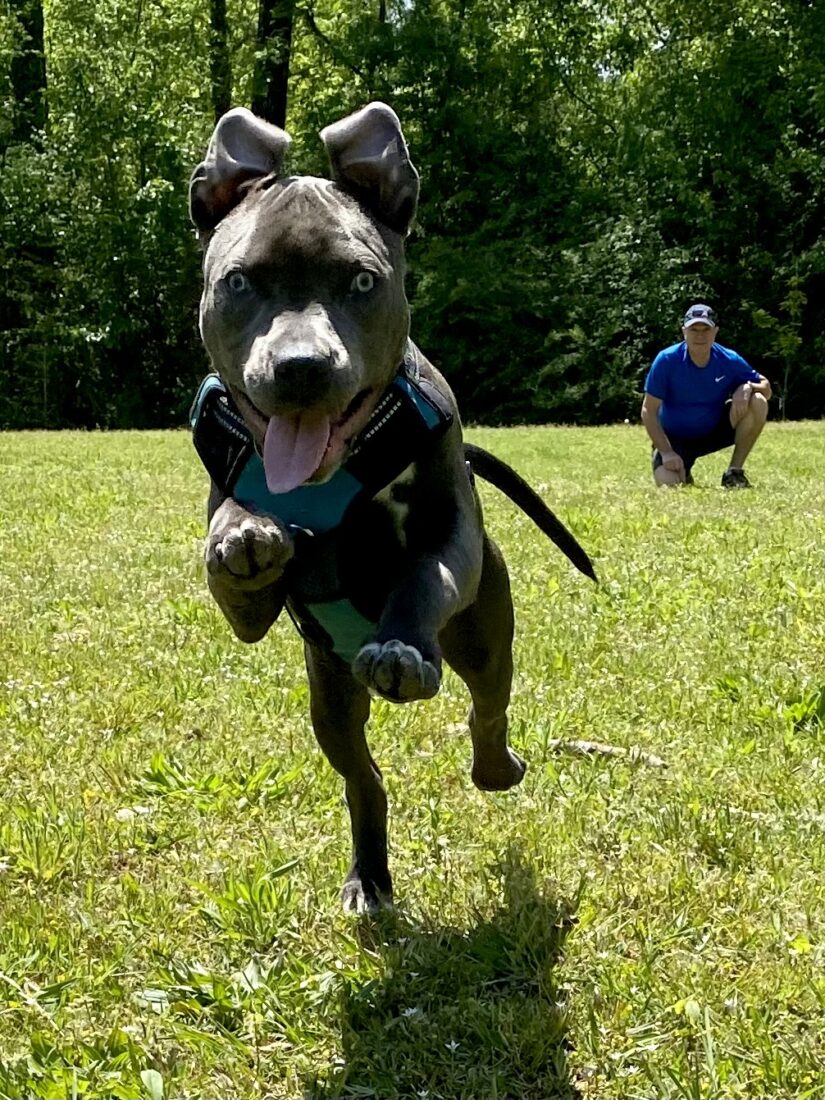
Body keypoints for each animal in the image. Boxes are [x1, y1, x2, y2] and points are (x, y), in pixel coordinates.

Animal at [190, 101, 598, 910]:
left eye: (360, 279)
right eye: (241, 281)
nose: (301, 366)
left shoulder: (451, 542)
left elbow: (421, 574)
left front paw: (402, 646)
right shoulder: (248, 607)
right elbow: (231, 552)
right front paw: (245, 538)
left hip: (484, 633)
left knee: (487, 708)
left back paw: (496, 767)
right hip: (330, 698)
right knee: (364, 777)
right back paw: (369, 875)